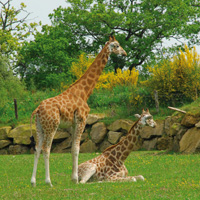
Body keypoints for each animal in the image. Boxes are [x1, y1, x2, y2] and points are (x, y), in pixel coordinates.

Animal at [30, 35, 126, 187]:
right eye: (117, 45)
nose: (124, 53)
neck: (84, 92)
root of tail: (38, 110)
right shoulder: (82, 119)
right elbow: (76, 148)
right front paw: (75, 179)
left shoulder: (74, 123)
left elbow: (72, 148)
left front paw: (73, 178)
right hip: (52, 126)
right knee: (46, 149)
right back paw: (48, 182)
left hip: (39, 127)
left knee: (37, 149)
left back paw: (33, 182)